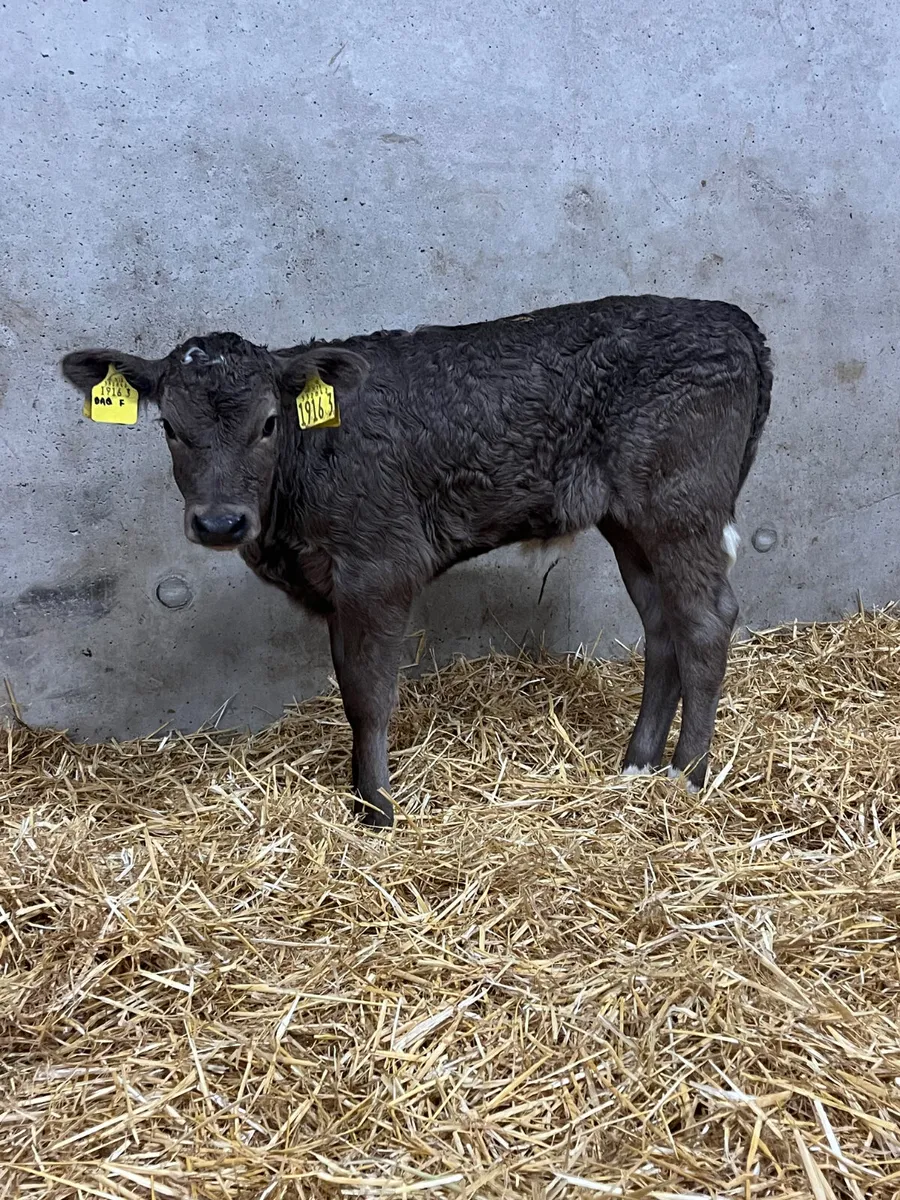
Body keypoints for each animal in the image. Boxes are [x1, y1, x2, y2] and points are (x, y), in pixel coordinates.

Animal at [62, 295, 772, 828]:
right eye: (170, 428)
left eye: (268, 423)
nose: (219, 522)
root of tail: (728, 316)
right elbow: (349, 685)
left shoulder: (379, 570)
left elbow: (368, 696)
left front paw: (377, 810)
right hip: (630, 521)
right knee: (663, 625)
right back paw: (636, 766)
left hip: (681, 506)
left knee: (706, 620)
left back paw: (687, 777)